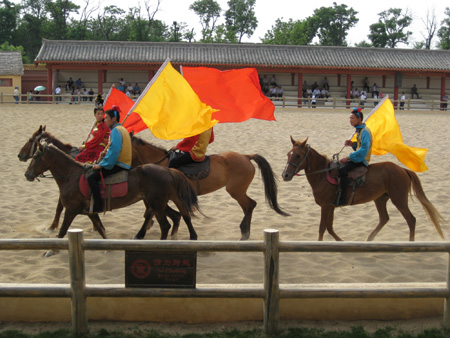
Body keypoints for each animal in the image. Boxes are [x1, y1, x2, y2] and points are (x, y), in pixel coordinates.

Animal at [24, 141, 199, 247]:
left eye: (35, 156)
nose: (27, 175)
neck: (71, 176)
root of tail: (168, 170)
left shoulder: (71, 210)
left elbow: (62, 232)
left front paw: (51, 251)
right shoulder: (89, 212)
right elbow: (101, 229)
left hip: (156, 204)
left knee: (165, 225)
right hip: (158, 203)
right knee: (176, 217)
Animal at [130, 133, 288, 239]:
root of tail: (245, 156)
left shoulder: (159, 196)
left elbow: (150, 213)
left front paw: (141, 233)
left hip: (235, 191)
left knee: (250, 205)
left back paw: (244, 232)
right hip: (238, 191)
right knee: (248, 206)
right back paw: (246, 232)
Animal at [284, 136, 444, 242]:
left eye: (298, 155)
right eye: (288, 154)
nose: (285, 175)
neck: (323, 174)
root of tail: (403, 169)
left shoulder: (326, 206)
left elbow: (323, 227)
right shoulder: (331, 206)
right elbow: (329, 227)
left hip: (399, 200)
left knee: (411, 220)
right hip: (380, 199)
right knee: (384, 218)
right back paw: (369, 239)